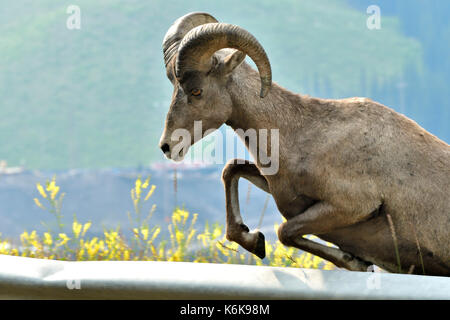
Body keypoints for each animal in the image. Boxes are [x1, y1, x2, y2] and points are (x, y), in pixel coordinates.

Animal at [160, 11, 448, 274]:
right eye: (174, 86)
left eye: (197, 90)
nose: (167, 146)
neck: (303, 133)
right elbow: (232, 169)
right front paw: (253, 241)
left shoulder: (352, 206)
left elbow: (284, 231)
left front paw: (353, 261)